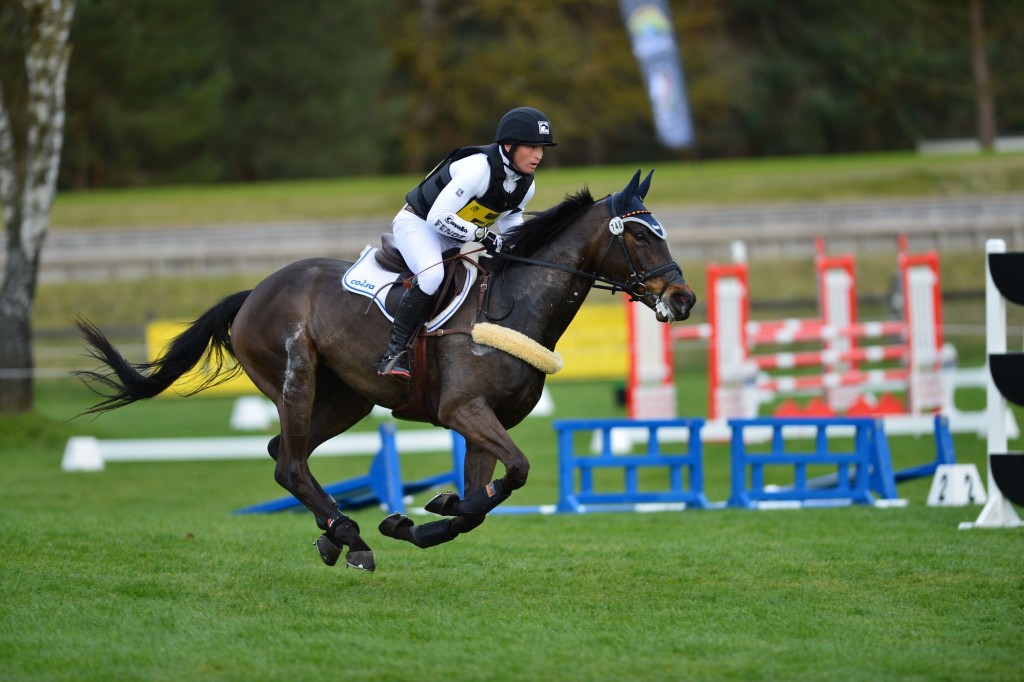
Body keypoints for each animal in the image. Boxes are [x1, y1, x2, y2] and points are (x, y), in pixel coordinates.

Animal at [72, 168, 696, 569]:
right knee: (291, 463)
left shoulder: (482, 420)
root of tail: (254, 292)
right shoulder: (465, 409)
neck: (517, 303)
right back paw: (351, 537)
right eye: (639, 234)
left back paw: (333, 536)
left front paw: (425, 519)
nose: (684, 299)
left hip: (348, 398)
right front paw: (417, 516)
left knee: (284, 454)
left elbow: (481, 500)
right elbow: (514, 472)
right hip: (296, 378)